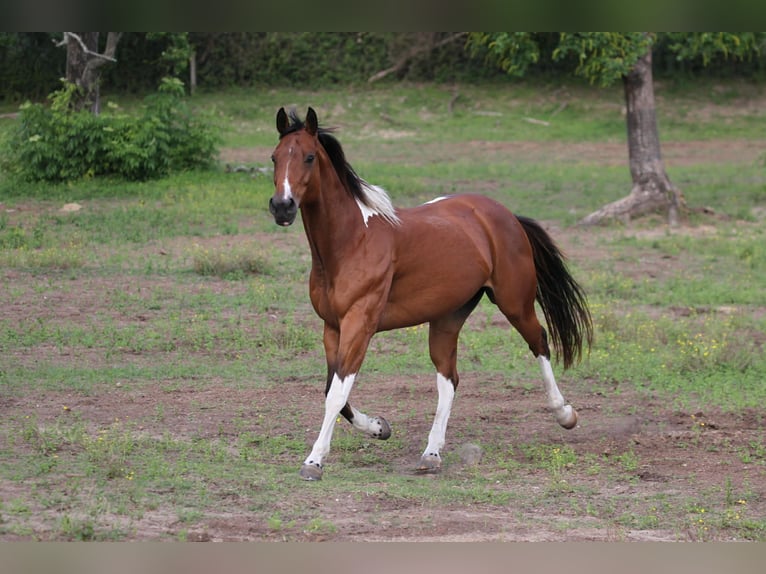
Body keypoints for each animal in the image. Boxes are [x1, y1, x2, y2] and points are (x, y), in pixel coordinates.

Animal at [269, 107, 593, 481]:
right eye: (274, 157)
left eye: (308, 157)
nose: (282, 206)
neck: (351, 242)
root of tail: (504, 215)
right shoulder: (332, 327)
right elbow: (333, 389)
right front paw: (380, 427)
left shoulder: (359, 324)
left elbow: (336, 393)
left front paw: (314, 461)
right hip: (449, 316)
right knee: (448, 377)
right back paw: (432, 453)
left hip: (514, 303)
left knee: (539, 340)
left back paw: (565, 414)